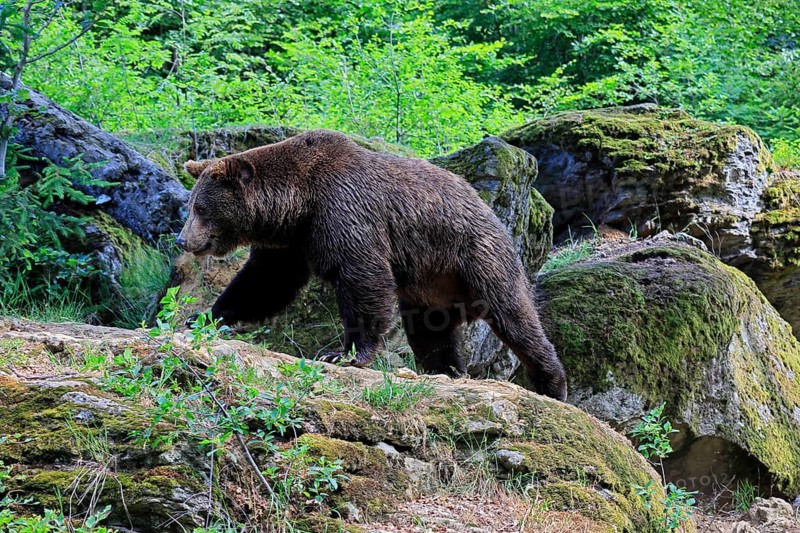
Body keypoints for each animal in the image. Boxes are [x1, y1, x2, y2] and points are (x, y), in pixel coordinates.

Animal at [177, 130, 568, 401]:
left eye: (200, 208)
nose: (183, 240)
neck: (299, 204)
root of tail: (488, 210)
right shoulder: (294, 242)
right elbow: (264, 283)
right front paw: (203, 316)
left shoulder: (346, 213)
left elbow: (362, 277)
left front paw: (344, 352)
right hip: (429, 285)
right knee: (430, 330)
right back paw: (444, 369)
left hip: (474, 256)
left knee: (514, 315)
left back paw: (552, 383)